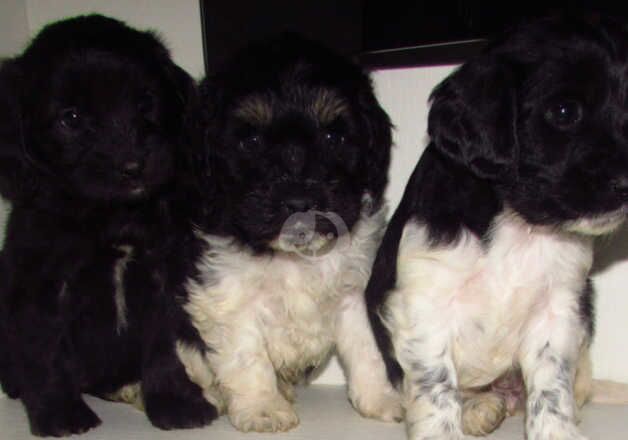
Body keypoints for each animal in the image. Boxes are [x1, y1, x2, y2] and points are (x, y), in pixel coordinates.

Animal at [0, 14, 218, 436]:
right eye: (71, 118)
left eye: (145, 102)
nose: (133, 165)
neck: (114, 217)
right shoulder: (42, 286)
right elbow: (45, 353)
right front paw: (59, 413)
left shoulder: (165, 277)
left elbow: (165, 348)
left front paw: (175, 402)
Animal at [175, 35, 402, 434]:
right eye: (250, 141)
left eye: (333, 136)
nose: (298, 202)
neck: (295, 256)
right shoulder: (227, 291)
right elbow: (246, 355)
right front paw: (262, 408)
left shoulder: (356, 289)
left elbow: (367, 348)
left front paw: (380, 399)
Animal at [366, 13, 628, 440]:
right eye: (564, 112)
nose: (626, 183)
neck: (518, 223)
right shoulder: (424, 302)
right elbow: (436, 387)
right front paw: (443, 432)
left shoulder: (558, 307)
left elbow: (552, 385)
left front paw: (557, 431)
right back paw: (479, 408)